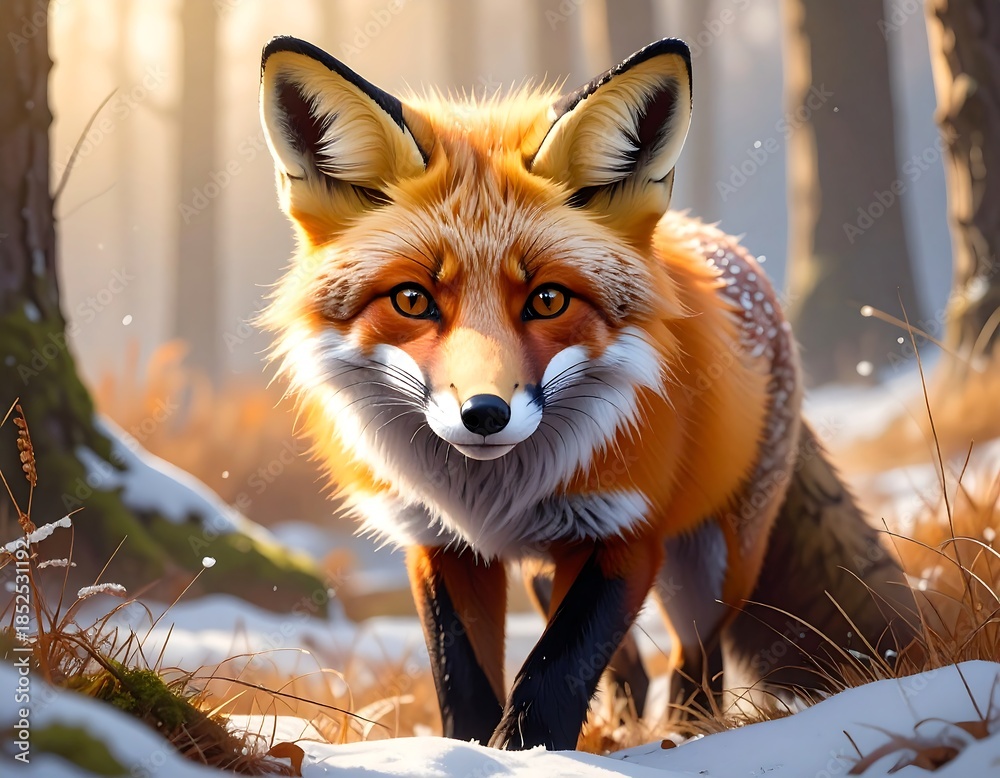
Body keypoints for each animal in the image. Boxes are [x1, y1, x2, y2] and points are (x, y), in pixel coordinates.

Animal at [257, 36, 917, 750]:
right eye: (412, 299)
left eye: (548, 299)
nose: (483, 414)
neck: (493, 498)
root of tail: (728, 248)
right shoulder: (441, 544)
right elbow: (464, 682)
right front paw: (473, 753)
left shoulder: (625, 531)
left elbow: (553, 674)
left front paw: (525, 753)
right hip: (553, 570)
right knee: (631, 667)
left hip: (714, 562)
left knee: (696, 661)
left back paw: (684, 737)